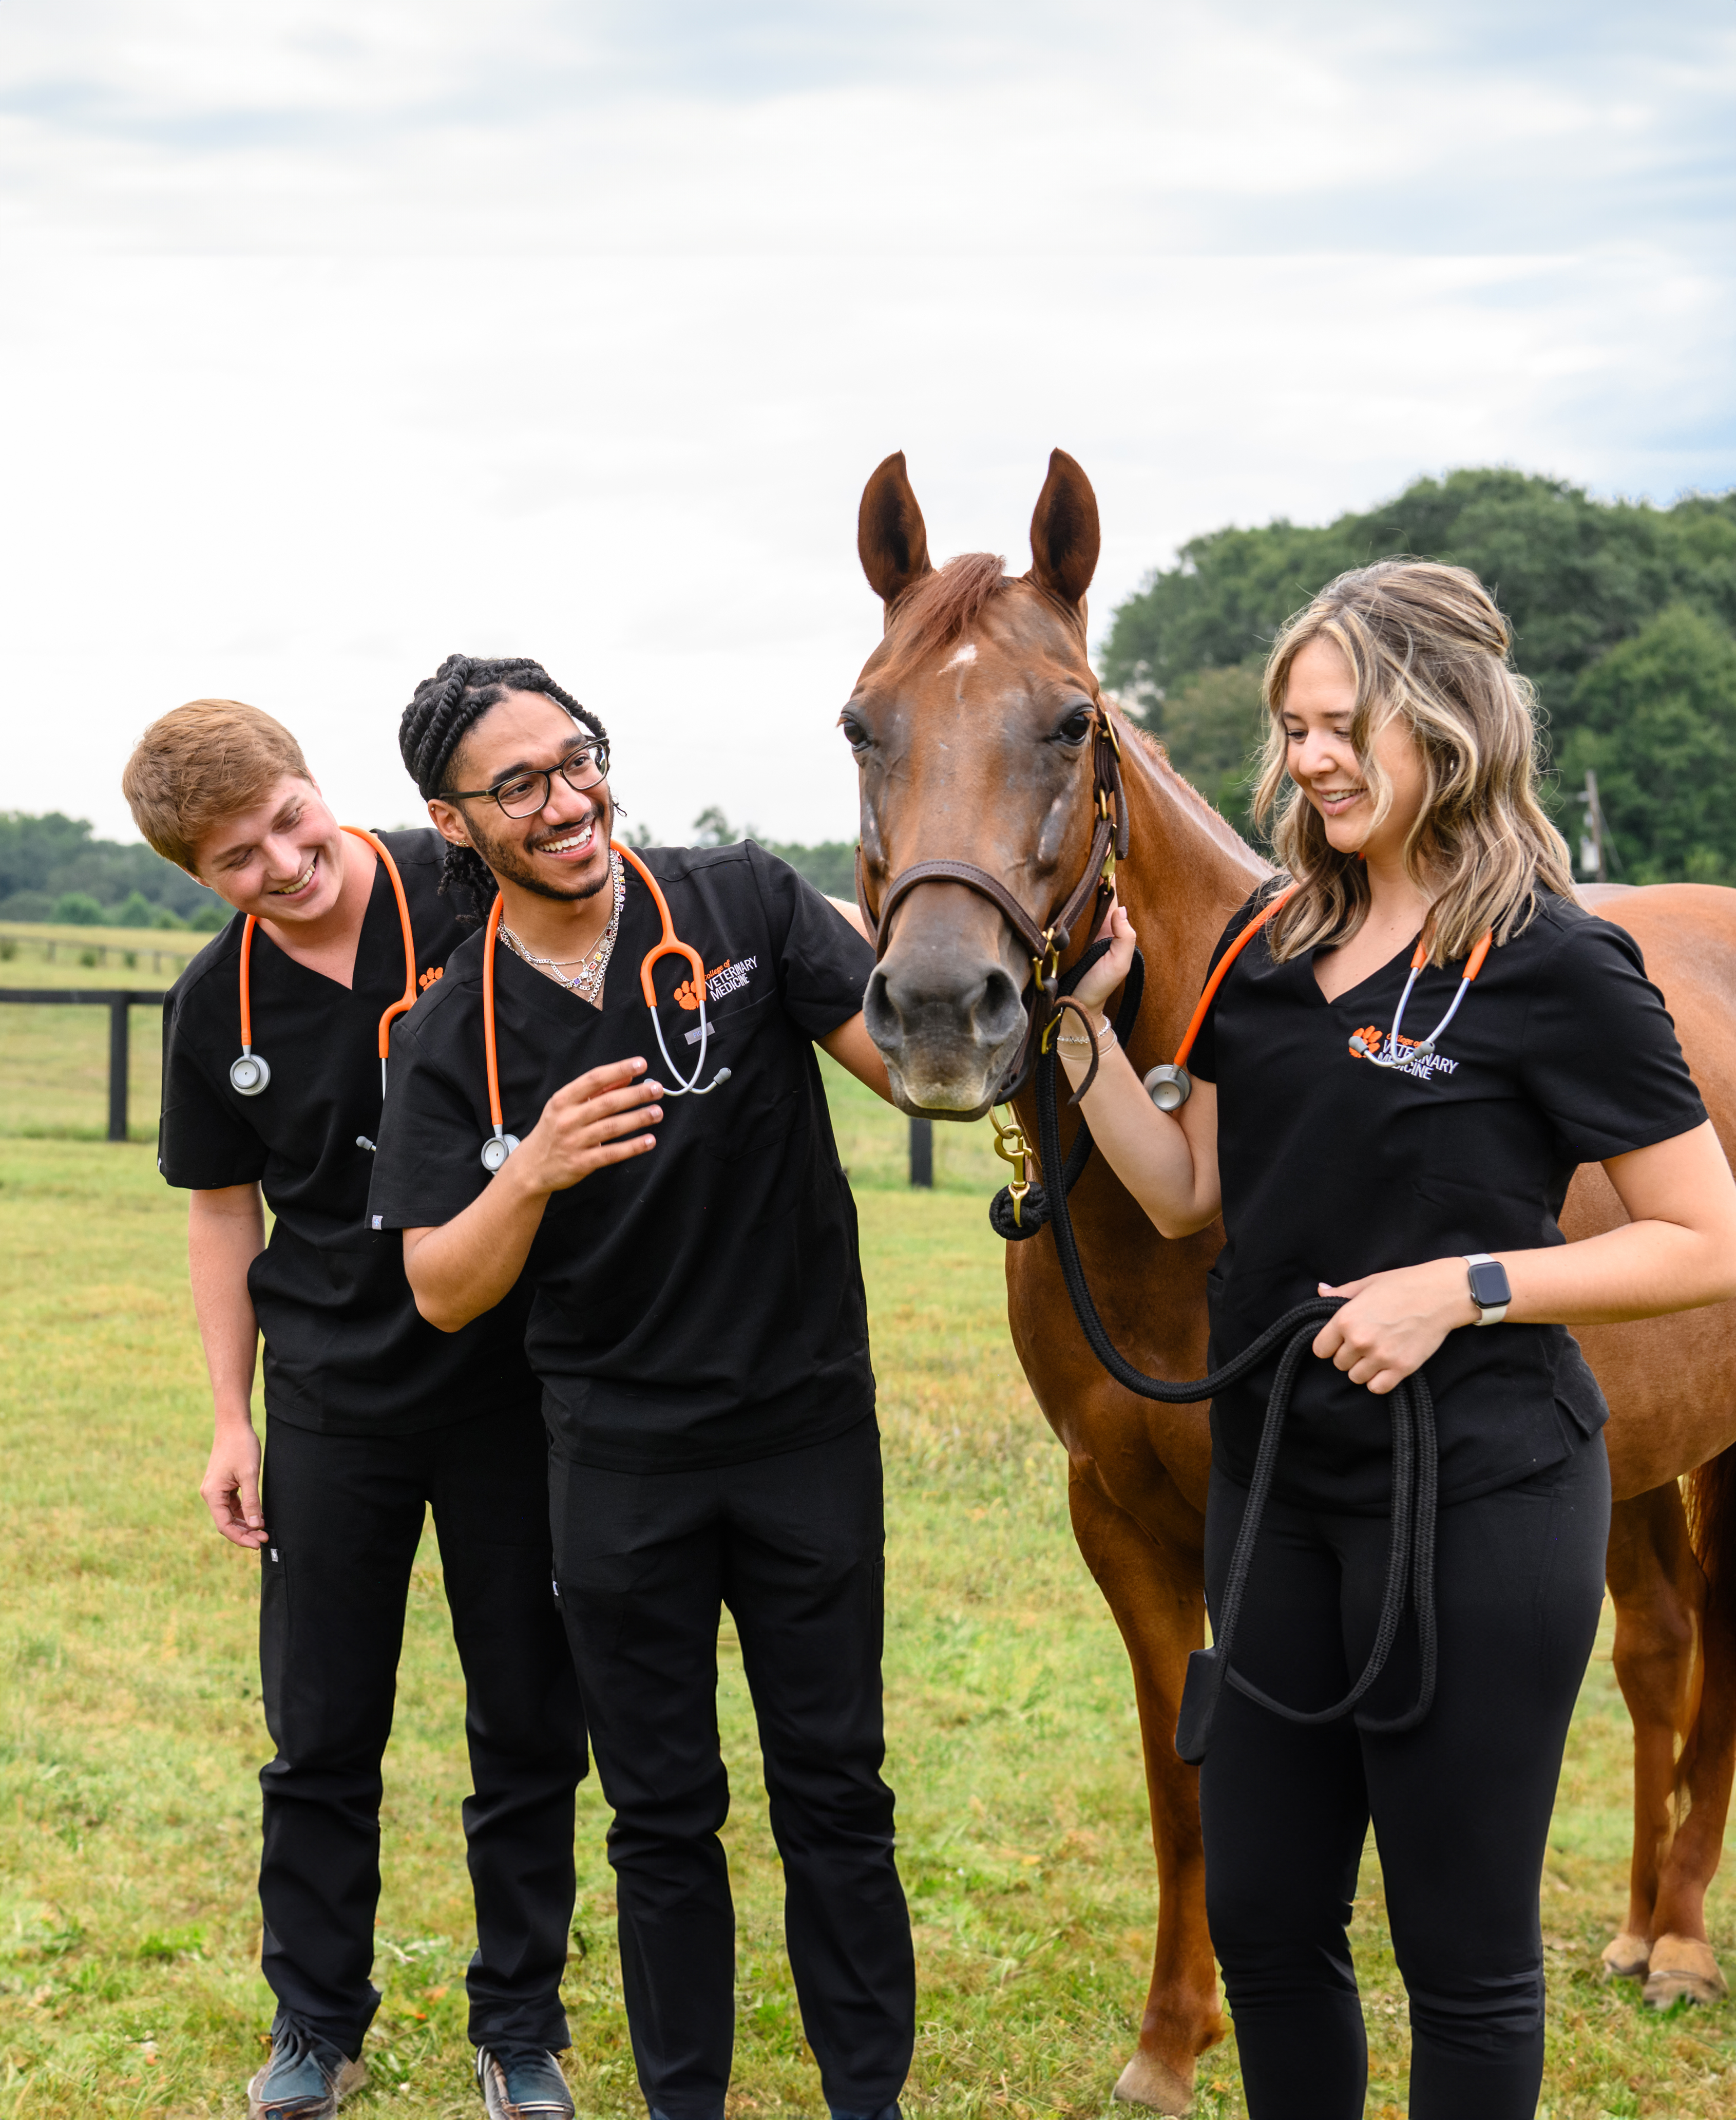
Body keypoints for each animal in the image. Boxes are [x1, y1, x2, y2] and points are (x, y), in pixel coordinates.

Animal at [848, 447, 1736, 2103]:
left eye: (1072, 720)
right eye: (862, 722)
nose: (940, 1008)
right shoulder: (1120, 1518)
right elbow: (1179, 1769)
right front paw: (1169, 2041)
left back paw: (1687, 1951)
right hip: (1643, 1457)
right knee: (1661, 1649)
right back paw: (1641, 1927)